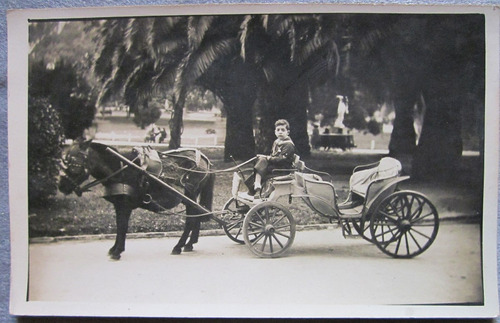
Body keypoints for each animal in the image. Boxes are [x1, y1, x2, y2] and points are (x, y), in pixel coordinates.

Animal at [58, 140, 215, 260]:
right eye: (64, 161)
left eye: (73, 163)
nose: (62, 186)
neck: (121, 170)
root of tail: (205, 159)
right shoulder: (118, 205)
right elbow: (118, 225)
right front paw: (114, 248)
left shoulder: (125, 205)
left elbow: (122, 226)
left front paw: (117, 252)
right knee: (197, 216)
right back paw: (189, 244)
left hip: (190, 195)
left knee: (190, 220)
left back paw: (179, 246)